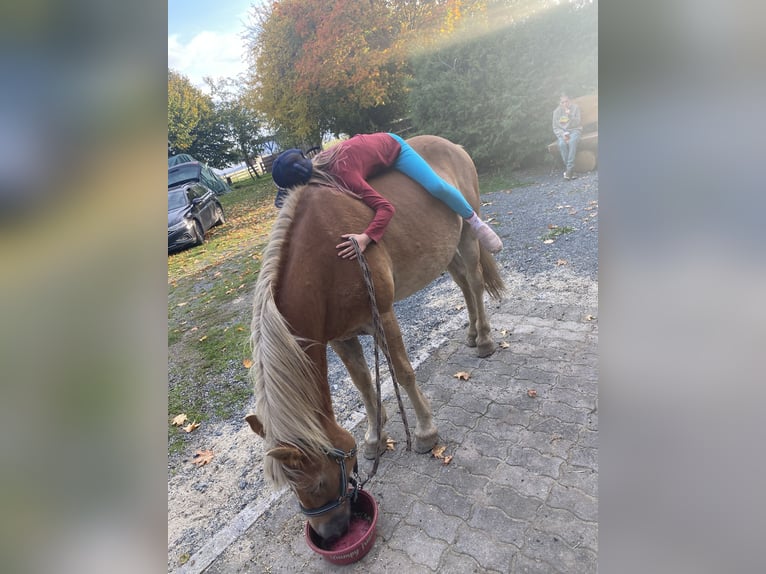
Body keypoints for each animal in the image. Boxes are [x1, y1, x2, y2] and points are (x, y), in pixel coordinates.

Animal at [246, 135, 508, 544]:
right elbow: (364, 386)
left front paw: (425, 433)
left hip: (465, 232)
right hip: (442, 249)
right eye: (292, 489)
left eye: (318, 483)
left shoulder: (381, 317)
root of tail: (451, 145)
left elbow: (402, 372)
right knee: (464, 284)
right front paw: (373, 438)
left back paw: (483, 339)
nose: (330, 534)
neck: (327, 256)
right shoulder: (340, 338)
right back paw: (469, 333)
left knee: (476, 282)